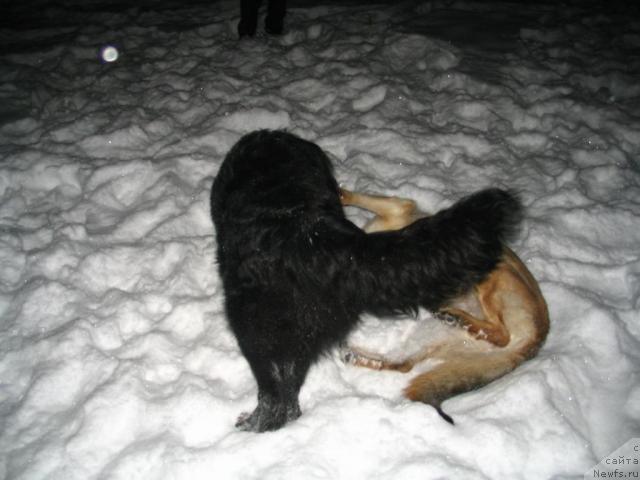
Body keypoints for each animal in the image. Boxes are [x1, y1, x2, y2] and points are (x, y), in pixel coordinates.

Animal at [340, 189, 552, 422]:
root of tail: (534, 343)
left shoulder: (399, 206)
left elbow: (358, 197)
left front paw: (341, 192)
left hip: (488, 273)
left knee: (501, 334)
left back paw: (460, 318)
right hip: (434, 336)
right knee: (404, 364)